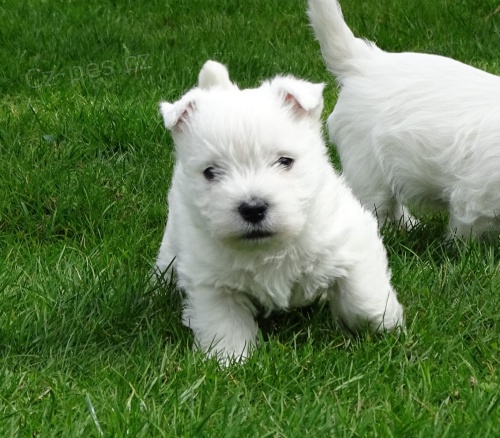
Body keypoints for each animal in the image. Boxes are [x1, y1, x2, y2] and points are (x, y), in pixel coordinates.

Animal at [155, 60, 402, 364]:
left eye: (285, 161)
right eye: (210, 172)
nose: (252, 208)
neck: (272, 246)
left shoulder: (351, 239)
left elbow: (363, 297)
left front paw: (386, 323)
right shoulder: (212, 283)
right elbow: (224, 324)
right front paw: (229, 361)